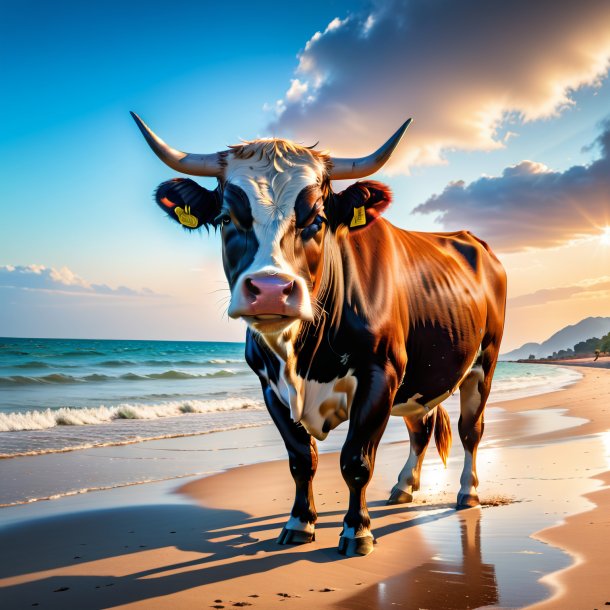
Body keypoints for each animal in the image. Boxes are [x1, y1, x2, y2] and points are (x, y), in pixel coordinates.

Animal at [132, 111, 504, 552]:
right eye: (226, 219)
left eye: (318, 220)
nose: (271, 289)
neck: (303, 359)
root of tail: (471, 239)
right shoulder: (270, 385)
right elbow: (301, 459)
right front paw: (299, 522)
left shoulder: (381, 374)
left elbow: (356, 459)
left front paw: (357, 530)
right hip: (421, 376)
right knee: (421, 428)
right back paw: (404, 487)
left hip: (484, 363)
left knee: (470, 430)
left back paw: (468, 492)